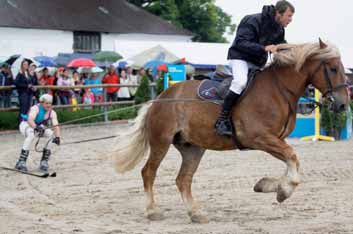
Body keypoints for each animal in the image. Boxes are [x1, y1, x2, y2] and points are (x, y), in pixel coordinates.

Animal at [112, 39, 346, 224]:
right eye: (333, 69)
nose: (343, 104)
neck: (279, 89)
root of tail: (160, 99)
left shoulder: (273, 140)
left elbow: (291, 161)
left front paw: (269, 186)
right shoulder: (259, 137)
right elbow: (292, 159)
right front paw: (282, 191)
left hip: (192, 148)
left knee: (183, 180)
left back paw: (195, 213)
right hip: (161, 142)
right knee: (149, 172)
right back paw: (153, 211)